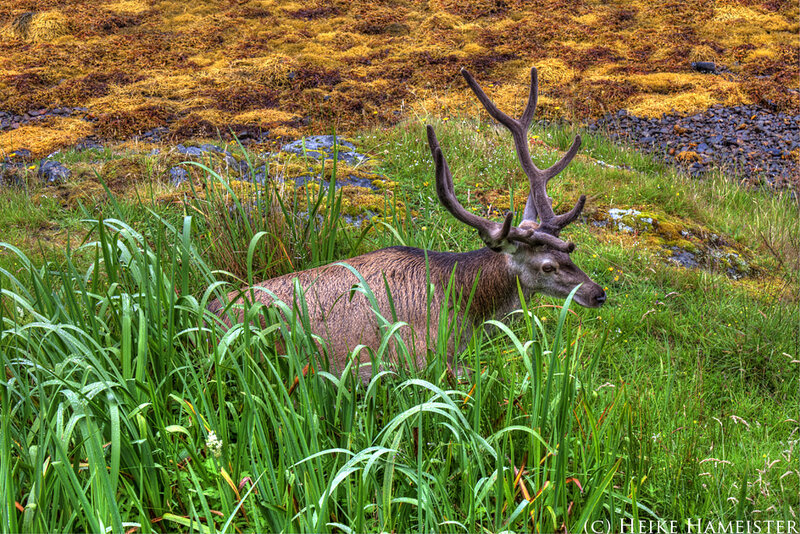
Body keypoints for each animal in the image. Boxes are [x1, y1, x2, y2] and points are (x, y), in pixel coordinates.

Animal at [207, 66, 606, 383]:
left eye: (573, 255)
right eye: (548, 266)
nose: (598, 293)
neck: (462, 306)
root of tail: (203, 313)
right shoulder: (413, 357)